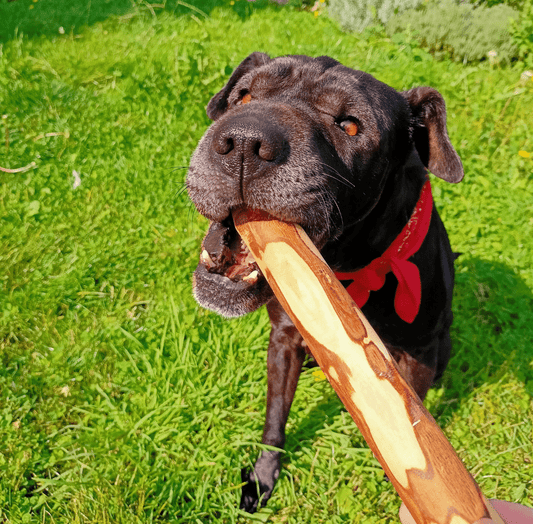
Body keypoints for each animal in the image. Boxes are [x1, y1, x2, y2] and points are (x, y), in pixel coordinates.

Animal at [186, 53, 462, 512]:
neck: (347, 268)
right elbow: (275, 417)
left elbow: (415, 421)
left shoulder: (418, 357)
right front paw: (263, 476)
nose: (244, 142)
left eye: (349, 125)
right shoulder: (283, 339)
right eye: (244, 95)